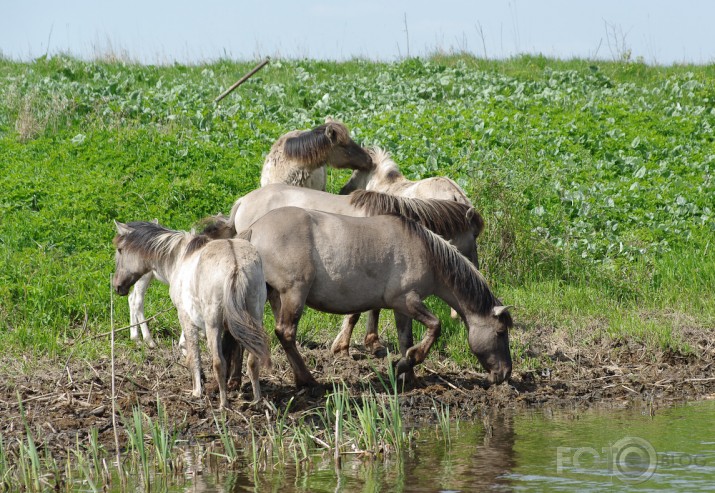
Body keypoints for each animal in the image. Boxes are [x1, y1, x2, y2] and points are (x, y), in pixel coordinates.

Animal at [238, 207, 512, 388]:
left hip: (273, 296)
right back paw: (308, 380)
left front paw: (409, 375)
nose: (505, 373)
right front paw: (406, 363)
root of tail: (253, 230)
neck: (425, 250)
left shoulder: (403, 309)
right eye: (500, 332)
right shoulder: (406, 300)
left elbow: (405, 339)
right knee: (286, 333)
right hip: (293, 294)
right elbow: (435, 326)